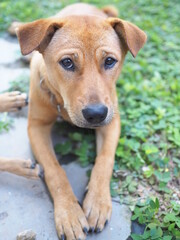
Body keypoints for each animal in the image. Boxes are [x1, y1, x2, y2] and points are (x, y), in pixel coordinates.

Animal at [15, 2, 146, 240]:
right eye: (67, 62)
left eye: (109, 61)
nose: (96, 114)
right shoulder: (36, 127)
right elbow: (55, 170)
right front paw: (69, 213)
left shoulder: (112, 120)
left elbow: (105, 160)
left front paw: (98, 202)